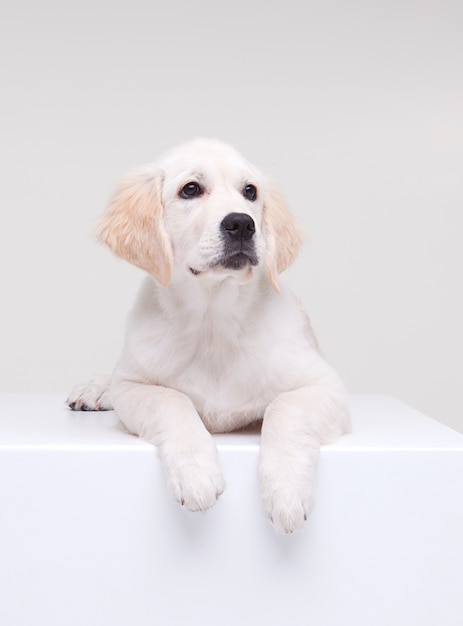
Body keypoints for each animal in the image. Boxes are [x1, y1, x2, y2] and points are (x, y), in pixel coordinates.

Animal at [68, 139, 352, 532]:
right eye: (190, 189)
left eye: (250, 192)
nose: (242, 224)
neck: (214, 319)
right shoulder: (133, 385)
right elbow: (171, 401)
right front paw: (196, 473)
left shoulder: (325, 386)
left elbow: (284, 408)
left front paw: (286, 491)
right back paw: (94, 389)